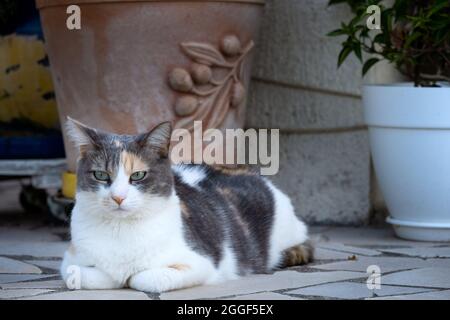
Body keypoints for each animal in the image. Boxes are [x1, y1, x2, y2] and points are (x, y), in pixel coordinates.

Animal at [60, 117, 312, 292]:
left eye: (138, 175)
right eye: (101, 175)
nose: (118, 197)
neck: (121, 231)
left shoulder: (201, 263)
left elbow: (143, 277)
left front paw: (127, 276)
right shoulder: (70, 260)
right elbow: (77, 273)